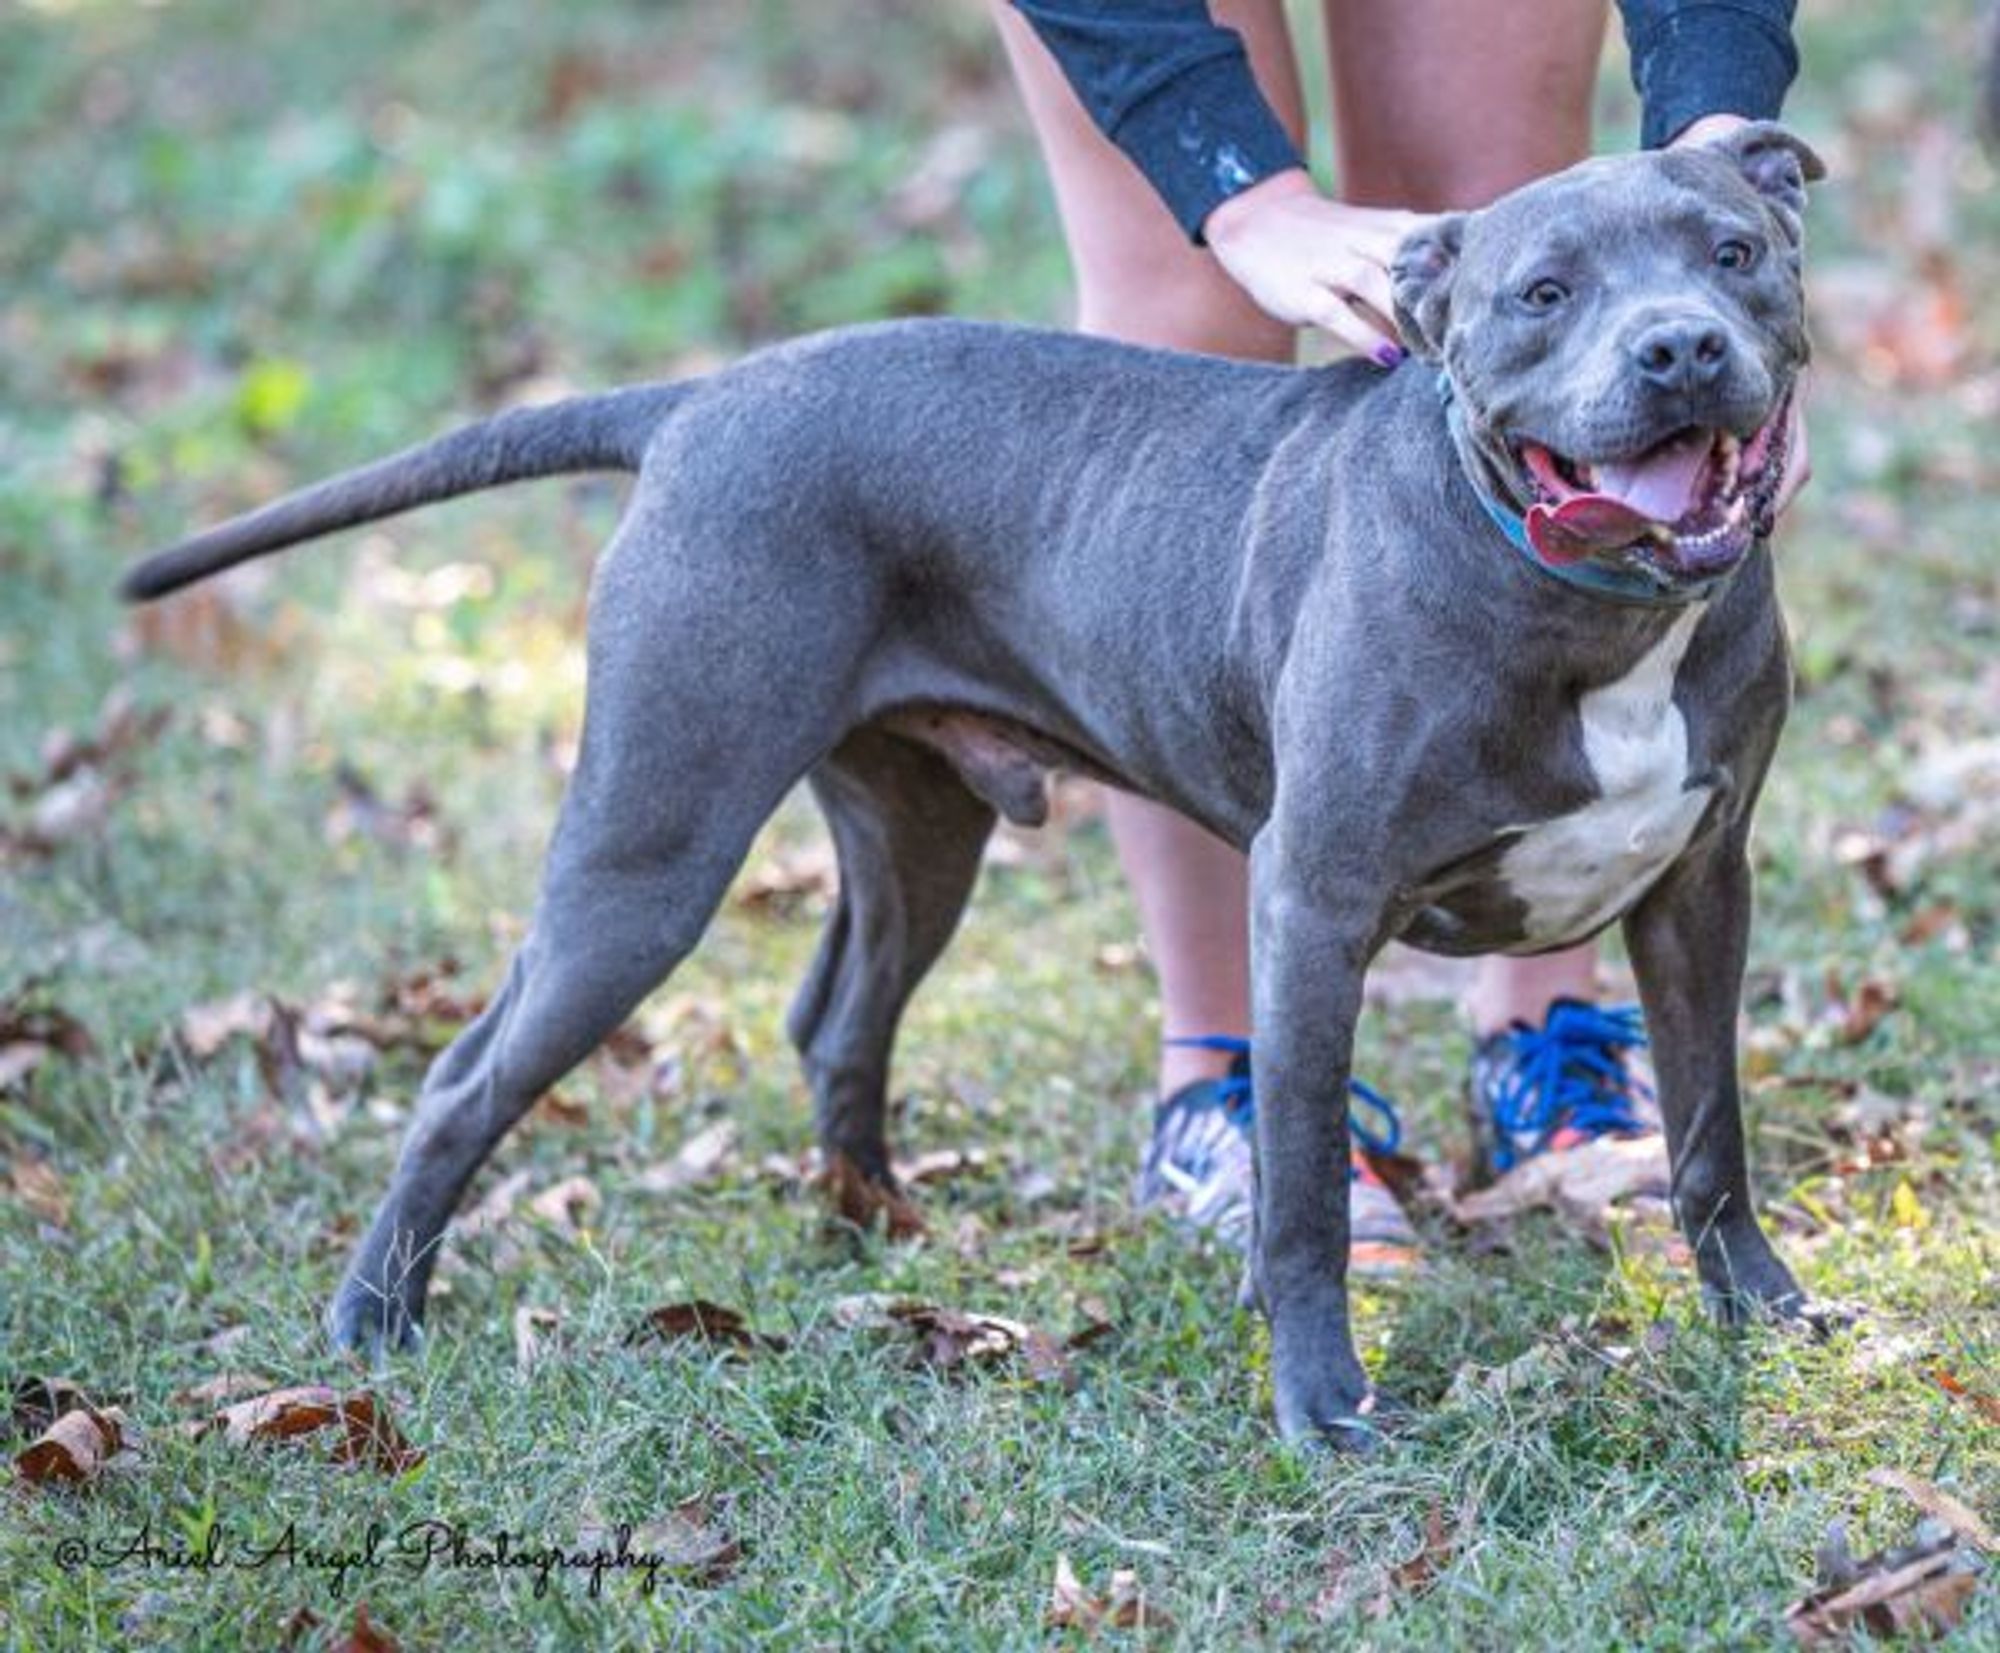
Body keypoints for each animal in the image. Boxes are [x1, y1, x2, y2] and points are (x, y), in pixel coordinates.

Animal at [117, 122, 1824, 1432]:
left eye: (1734, 252)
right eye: (1544, 293)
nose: (1680, 345)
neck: (1591, 608)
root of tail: (701, 397)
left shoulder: (1700, 884)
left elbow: (1709, 1131)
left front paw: (1759, 1307)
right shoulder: (1313, 908)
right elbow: (1301, 1199)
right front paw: (1323, 1403)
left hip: (913, 827)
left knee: (835, 1016)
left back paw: (877, 1229)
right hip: (649, 848)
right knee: (468, 1075)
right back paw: (374, 1323)